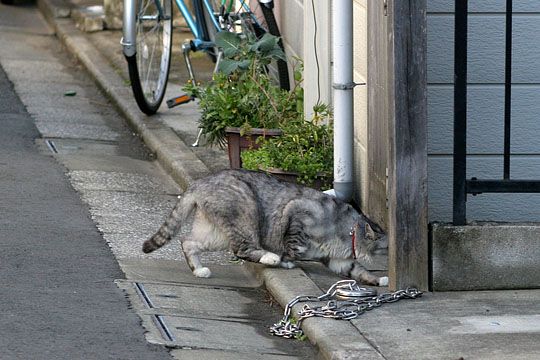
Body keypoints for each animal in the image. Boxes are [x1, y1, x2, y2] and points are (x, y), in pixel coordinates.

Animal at [143, 169, 388, 286]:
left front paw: (379, 280)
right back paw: (270, 258)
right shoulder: (296, 212)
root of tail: (199, 182)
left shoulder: (338, 261)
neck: (348, 234)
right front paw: (287, 262)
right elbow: (293, 246)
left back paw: (199, 270)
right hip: (247, 211)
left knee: (187, 241)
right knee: (241, 249)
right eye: (387, 248)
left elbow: (357, 271)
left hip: (214, 232)